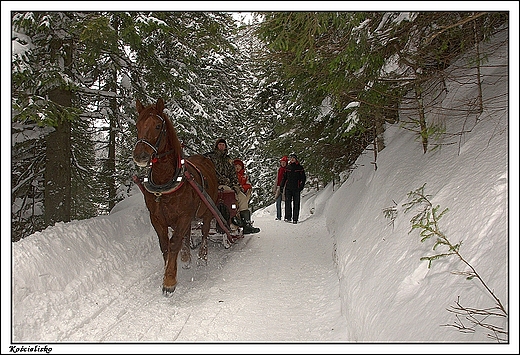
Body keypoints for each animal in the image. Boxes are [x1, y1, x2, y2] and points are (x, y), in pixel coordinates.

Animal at [133, 97, 218, 294]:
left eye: (158, 126)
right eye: (137, 125)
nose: (140, 156)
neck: (165, 183)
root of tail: (205, 159)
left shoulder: (183, 215)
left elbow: (174, 243)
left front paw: (169, 280)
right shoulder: (157, 218)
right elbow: (165, 245)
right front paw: (170, 268)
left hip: (207, 212)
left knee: (204, 232)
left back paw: (202, 257)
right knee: (187, 235)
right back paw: (186, 257)